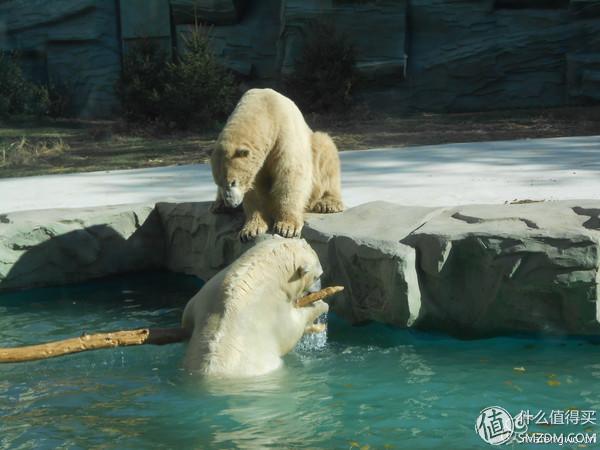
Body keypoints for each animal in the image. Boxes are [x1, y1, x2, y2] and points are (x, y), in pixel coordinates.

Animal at [180, 237, 328, 378]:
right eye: (318, 276)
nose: (320, 286)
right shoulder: (272, 306)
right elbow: (292, 329)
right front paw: (321, 307)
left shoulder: (207, 293)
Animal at [210, 89, 342, 243]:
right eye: (219, 183)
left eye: (233, 182)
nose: (232, 203)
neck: (264, 109)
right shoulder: (258, 161)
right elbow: (255, 188)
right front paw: (251, 230)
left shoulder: (284, 133)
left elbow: (291, 173)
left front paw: (287, 227)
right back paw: (218, 205)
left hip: (315, 148)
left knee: (325, 149)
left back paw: (328, 203)